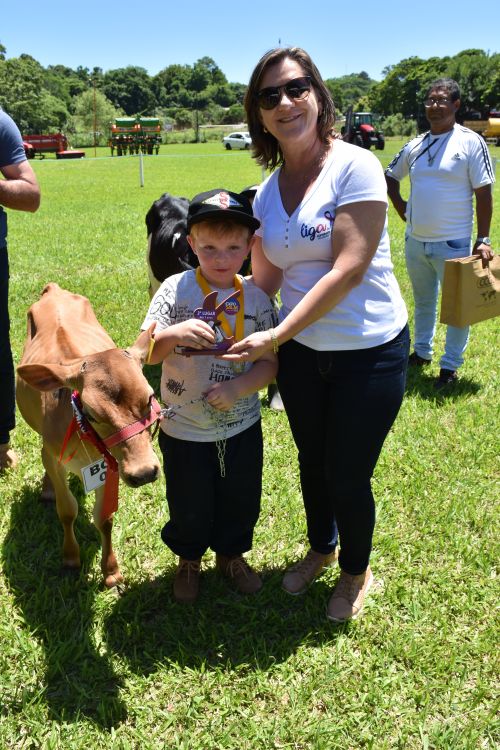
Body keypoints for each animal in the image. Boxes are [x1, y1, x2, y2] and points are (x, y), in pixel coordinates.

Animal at [16, 283, 162, 588]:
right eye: (92, 414)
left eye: (150, 398)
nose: (144, 472)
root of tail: (54, 289)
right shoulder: (54, 456)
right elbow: (67, 510)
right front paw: (71, 558)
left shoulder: (110, 464)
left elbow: (104, 518)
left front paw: (111, 571)